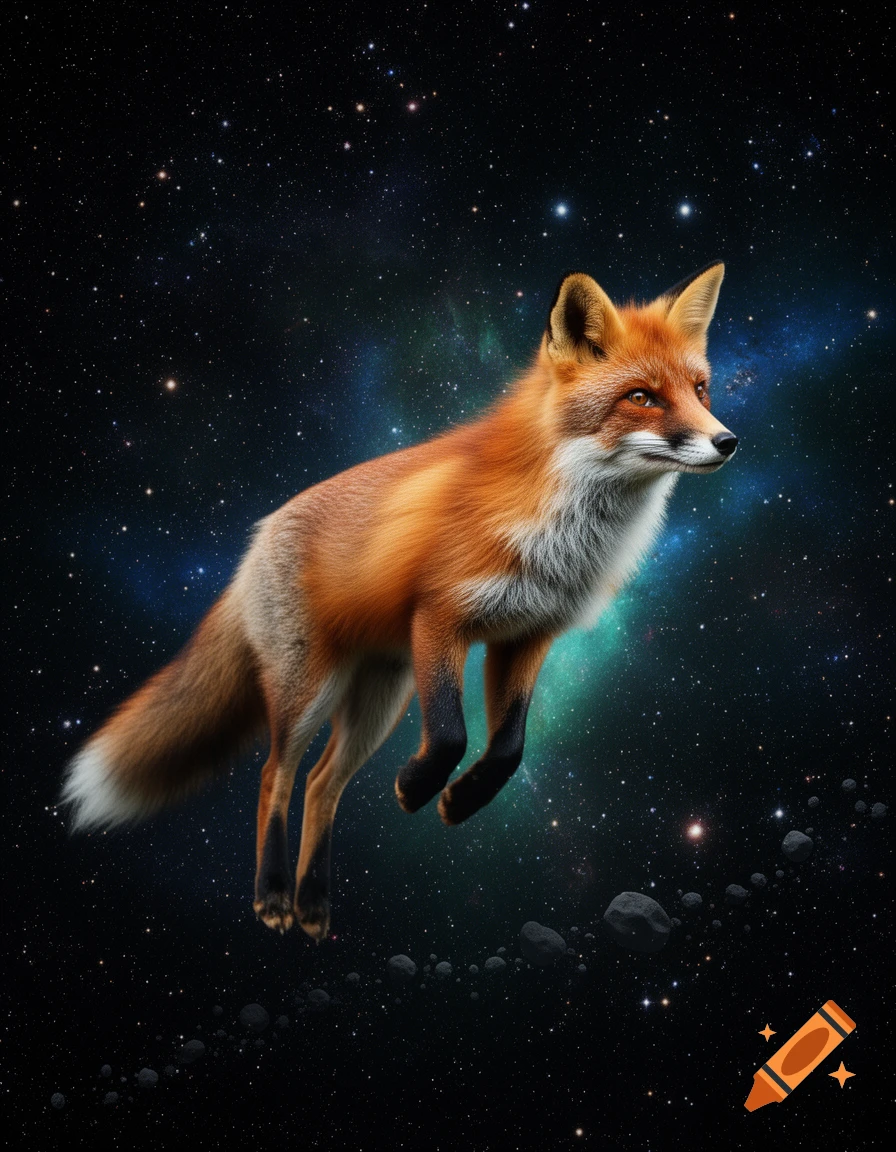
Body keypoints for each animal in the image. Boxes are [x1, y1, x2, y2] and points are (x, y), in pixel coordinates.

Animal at [60, 262, 737, 942]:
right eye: (642, 397)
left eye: (700, 389)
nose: (727, 441)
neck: (562, 531)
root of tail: (257, 538)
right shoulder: (438, 619)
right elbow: (450, 736)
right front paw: (416, 789)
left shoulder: (526, 637)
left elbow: (508, 747)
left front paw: (460, 800)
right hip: (311, 689)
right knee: (275, 778)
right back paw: (274, 895)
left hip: (379, 702)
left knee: (320, 786)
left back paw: (313, 903)